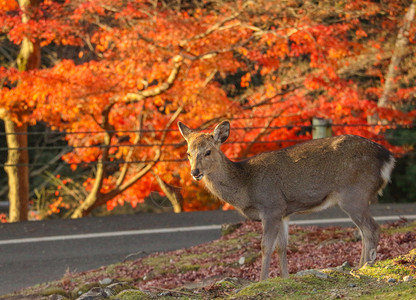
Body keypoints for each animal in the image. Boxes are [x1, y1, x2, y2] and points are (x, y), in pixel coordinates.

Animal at [177, 120, 394, 280]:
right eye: (188, 153)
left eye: (208, 151)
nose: (195, 172)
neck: (246, 186)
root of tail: (388, 158)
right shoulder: (284, 212)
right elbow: (282, 247)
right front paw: (284, 278)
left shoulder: (271, 206)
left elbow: (265, 247)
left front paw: (262, 280)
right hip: (357, 197)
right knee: (364, 231)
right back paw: (358, 266)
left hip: (354, 194)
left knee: (371, 229)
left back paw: (366, 267)